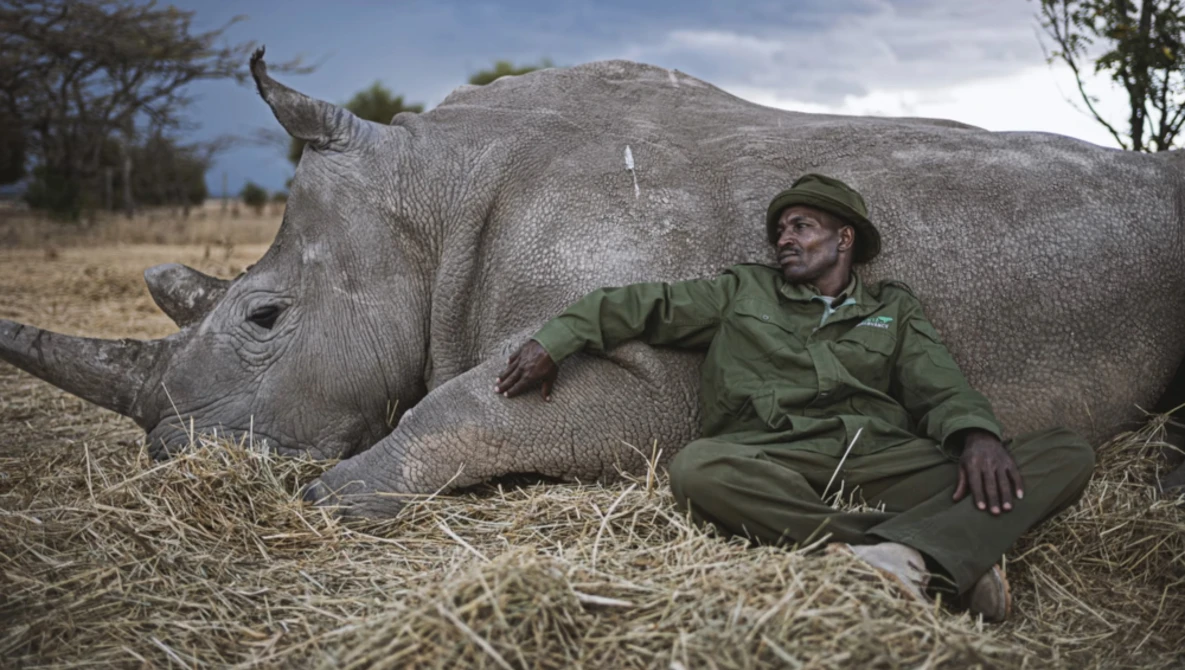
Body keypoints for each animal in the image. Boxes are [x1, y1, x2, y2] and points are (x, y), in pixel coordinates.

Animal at [2, 48, 1183, 517]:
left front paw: (335, 499)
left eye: (263, 315)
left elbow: (457, 406)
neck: (431, 196)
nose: (172, 458)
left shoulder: (651, 375)